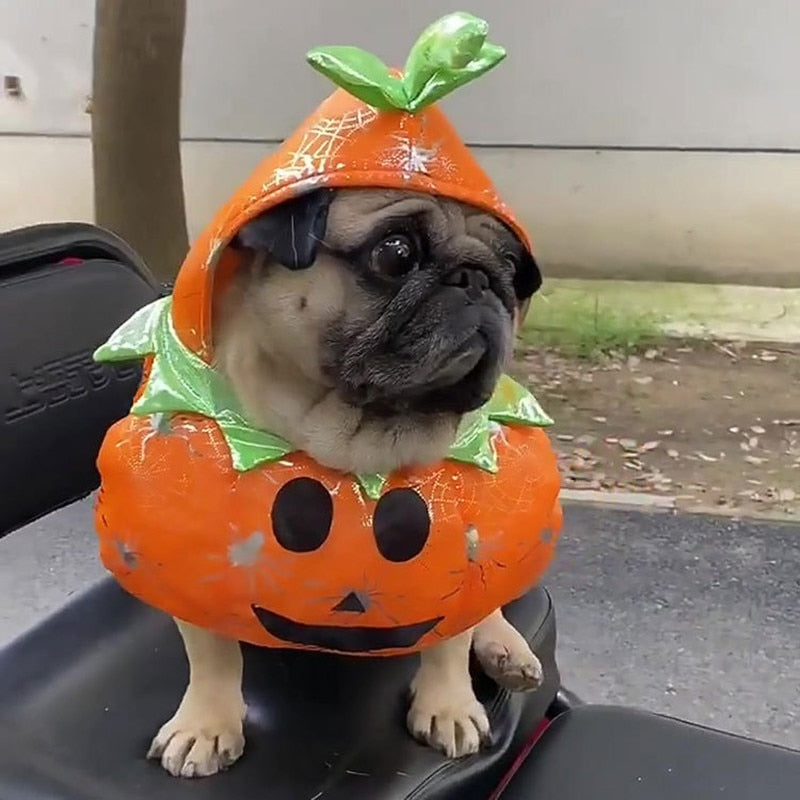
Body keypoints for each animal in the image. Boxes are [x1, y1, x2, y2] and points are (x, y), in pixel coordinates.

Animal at [145, 186, 544, 776]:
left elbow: (450, 635)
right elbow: (211, 651)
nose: (478, 276)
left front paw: (448, 704)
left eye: (513, 268)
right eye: (396, 253)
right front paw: (206, 725)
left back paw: (506, 649)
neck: (357, 444)